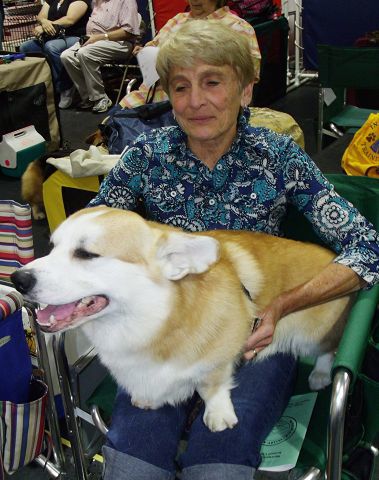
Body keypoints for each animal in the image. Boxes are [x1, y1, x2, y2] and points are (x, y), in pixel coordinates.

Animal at [11, 206, 354, 432]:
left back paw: (320, 375)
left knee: (330, 349)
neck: (154, 321)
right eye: (52, 247)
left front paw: (218, 416)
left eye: (86, 254)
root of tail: (332, 256)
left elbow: (212, 385)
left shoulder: (222, 353)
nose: (18, 279)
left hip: (315, 333)